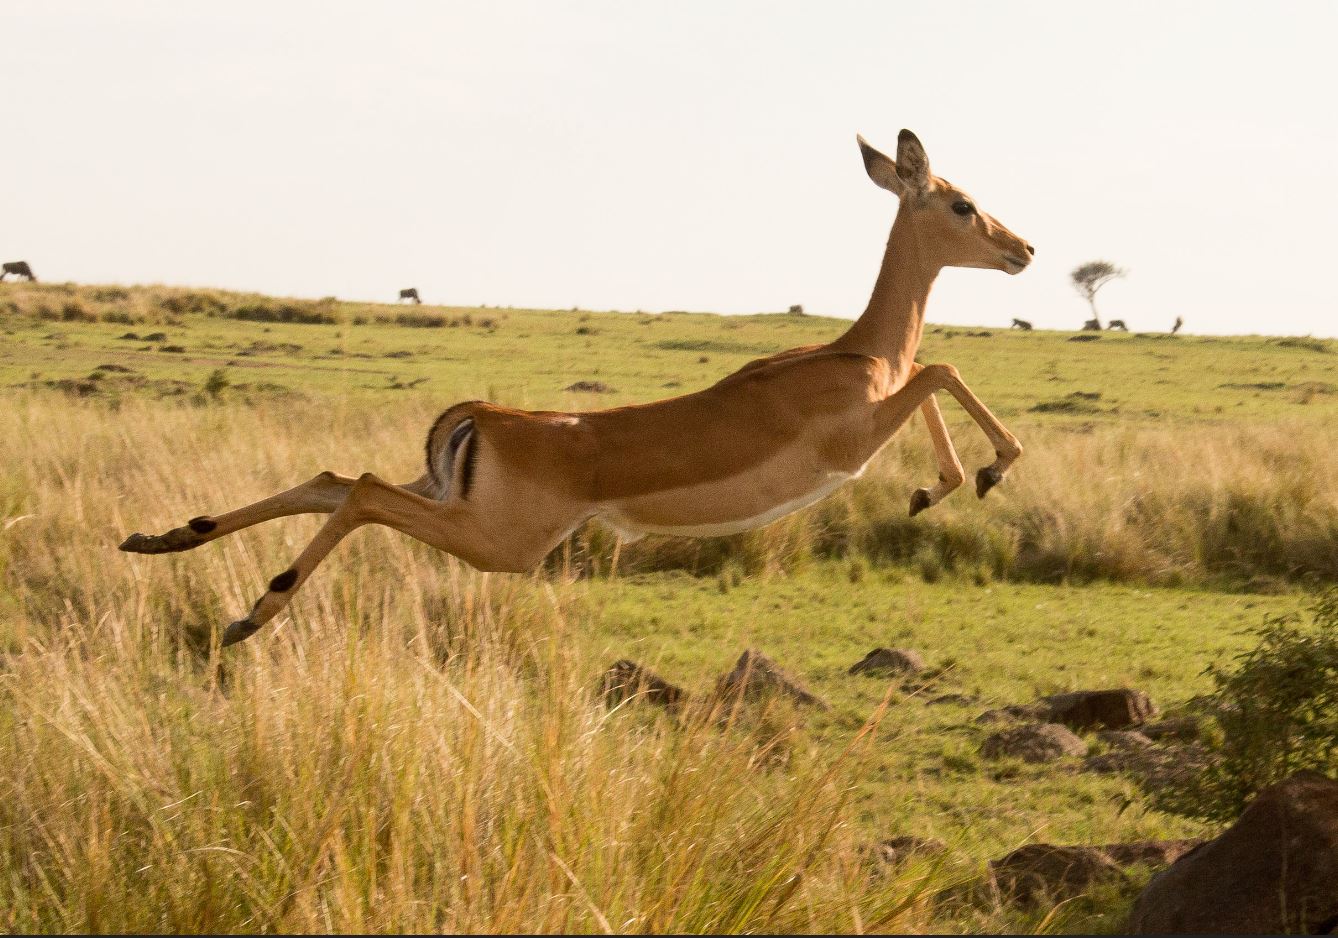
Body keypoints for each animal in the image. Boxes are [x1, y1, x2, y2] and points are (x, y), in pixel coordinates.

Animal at [120, 130, 1034, 648]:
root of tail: (481, 416)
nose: (1023, 249)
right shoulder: (854, 440)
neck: (858, 354)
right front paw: (976, 474)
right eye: (961, 203)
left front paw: (935, 489)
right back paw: (246, 618)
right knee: (365, 491)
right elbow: (941, 368)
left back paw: (162, 540)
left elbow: (936, 373)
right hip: (501, 543)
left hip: (451, 503)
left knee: (329, 479)